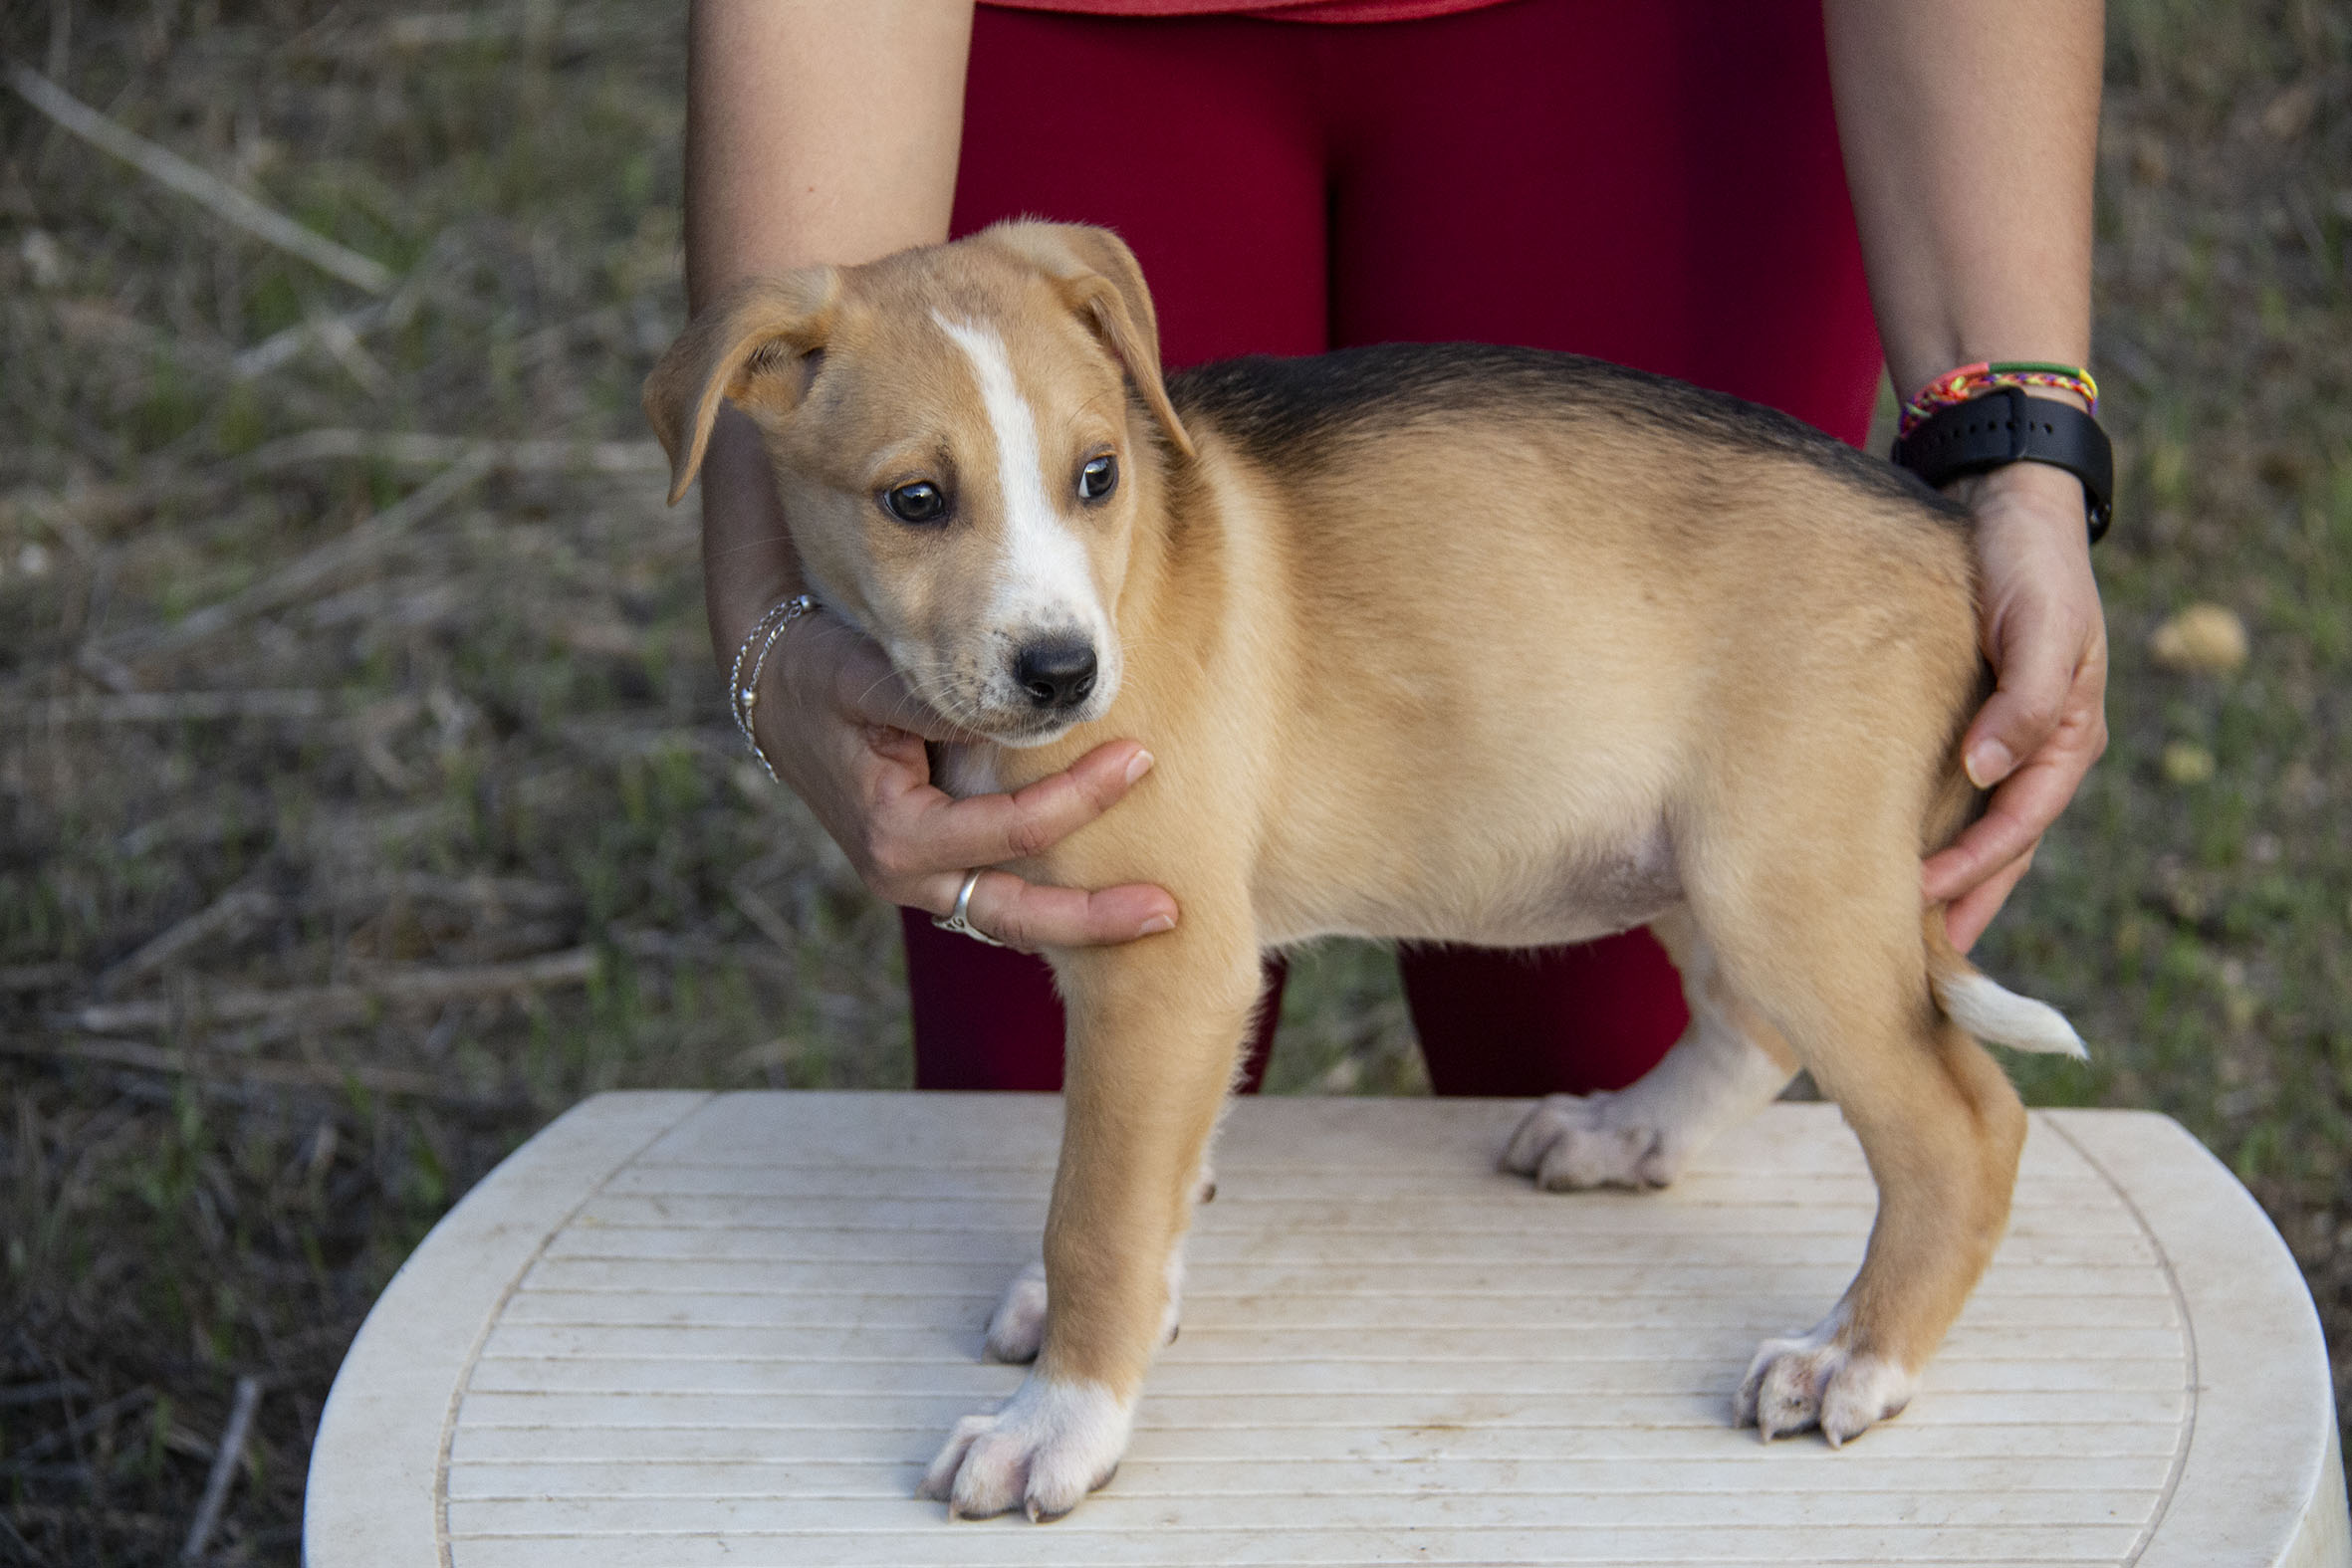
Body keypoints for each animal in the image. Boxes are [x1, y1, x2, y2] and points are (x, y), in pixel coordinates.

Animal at [644, 221, 2085, 1524]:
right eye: (916, 501)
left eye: (1096, 475)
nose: (1064, 674)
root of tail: (1947, 543)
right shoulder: (1182, 989)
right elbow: (1158, 1176)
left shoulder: (1165, 965)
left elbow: (1096, 1212)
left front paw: (1059, 1421)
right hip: (1689, 853)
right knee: (1752, 1025)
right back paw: (1632, 1131)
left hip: (1781, 876)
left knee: (1965, 1124)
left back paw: (1852, 1355)